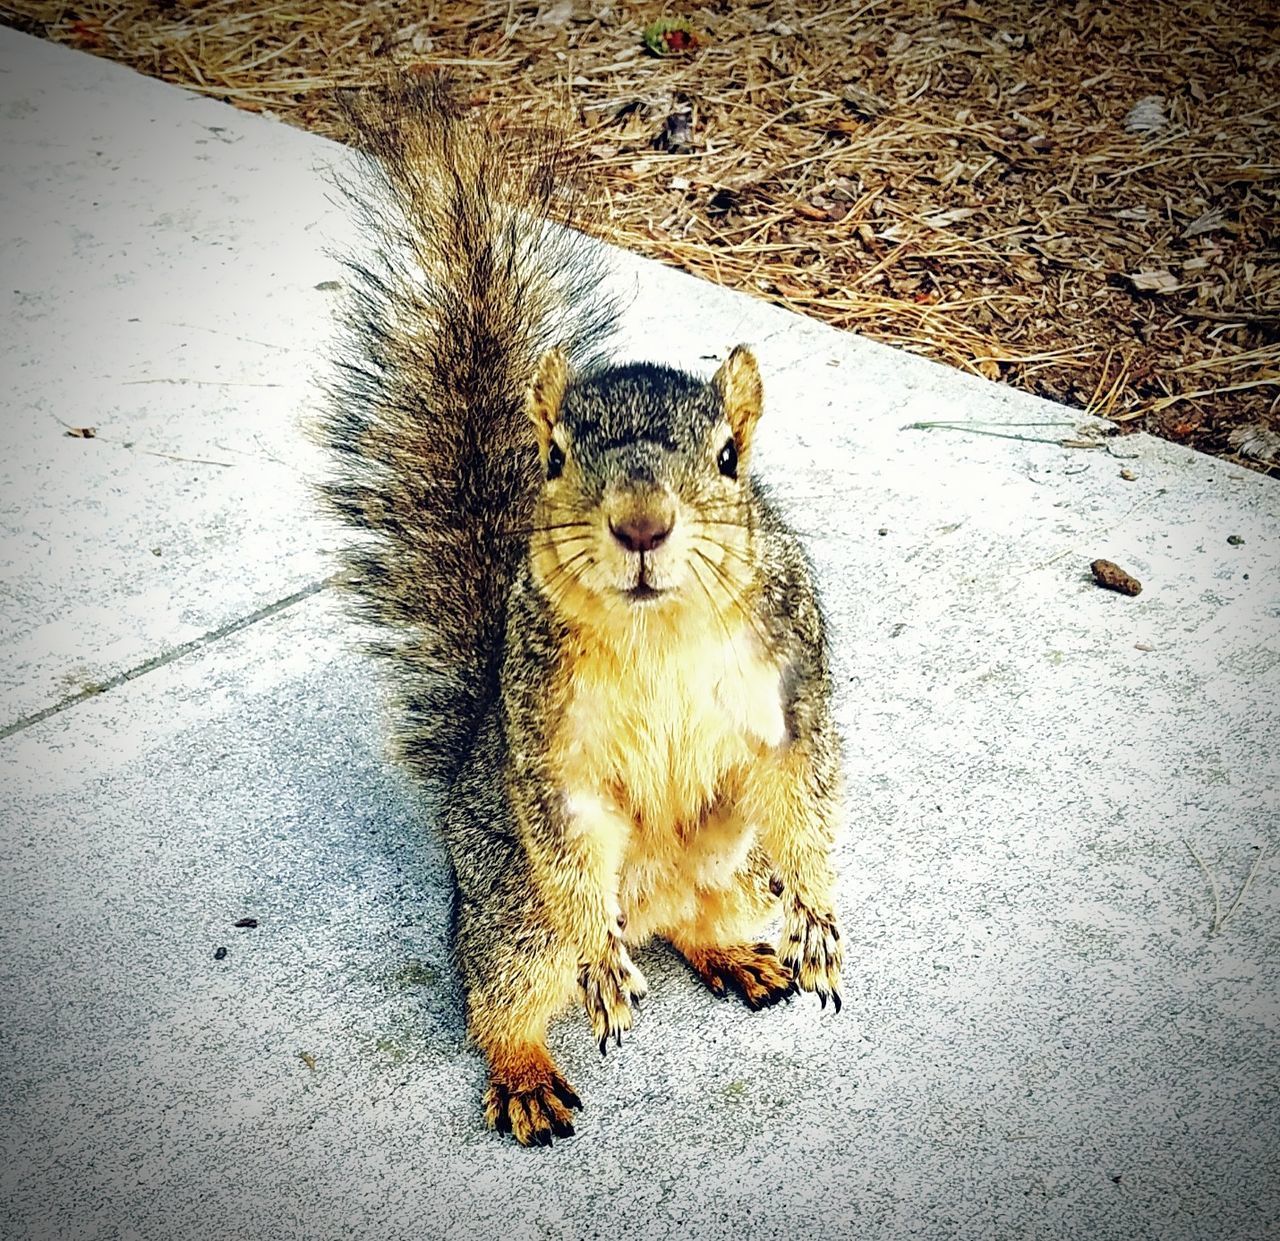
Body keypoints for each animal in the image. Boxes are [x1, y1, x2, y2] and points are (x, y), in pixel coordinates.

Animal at [318, 74, 844, 1141]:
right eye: (554, 456)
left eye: (731, 456)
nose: (642, 524)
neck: (659, 629)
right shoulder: (550, 747)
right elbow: (569, 836)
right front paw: (601, 967)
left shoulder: (790, 687)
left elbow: (802, 793)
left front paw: (816, 912)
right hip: (517, 915)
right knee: (498, 998)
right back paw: (529, 1068)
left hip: (734, 871)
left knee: (696, 925)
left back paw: (742, 955)